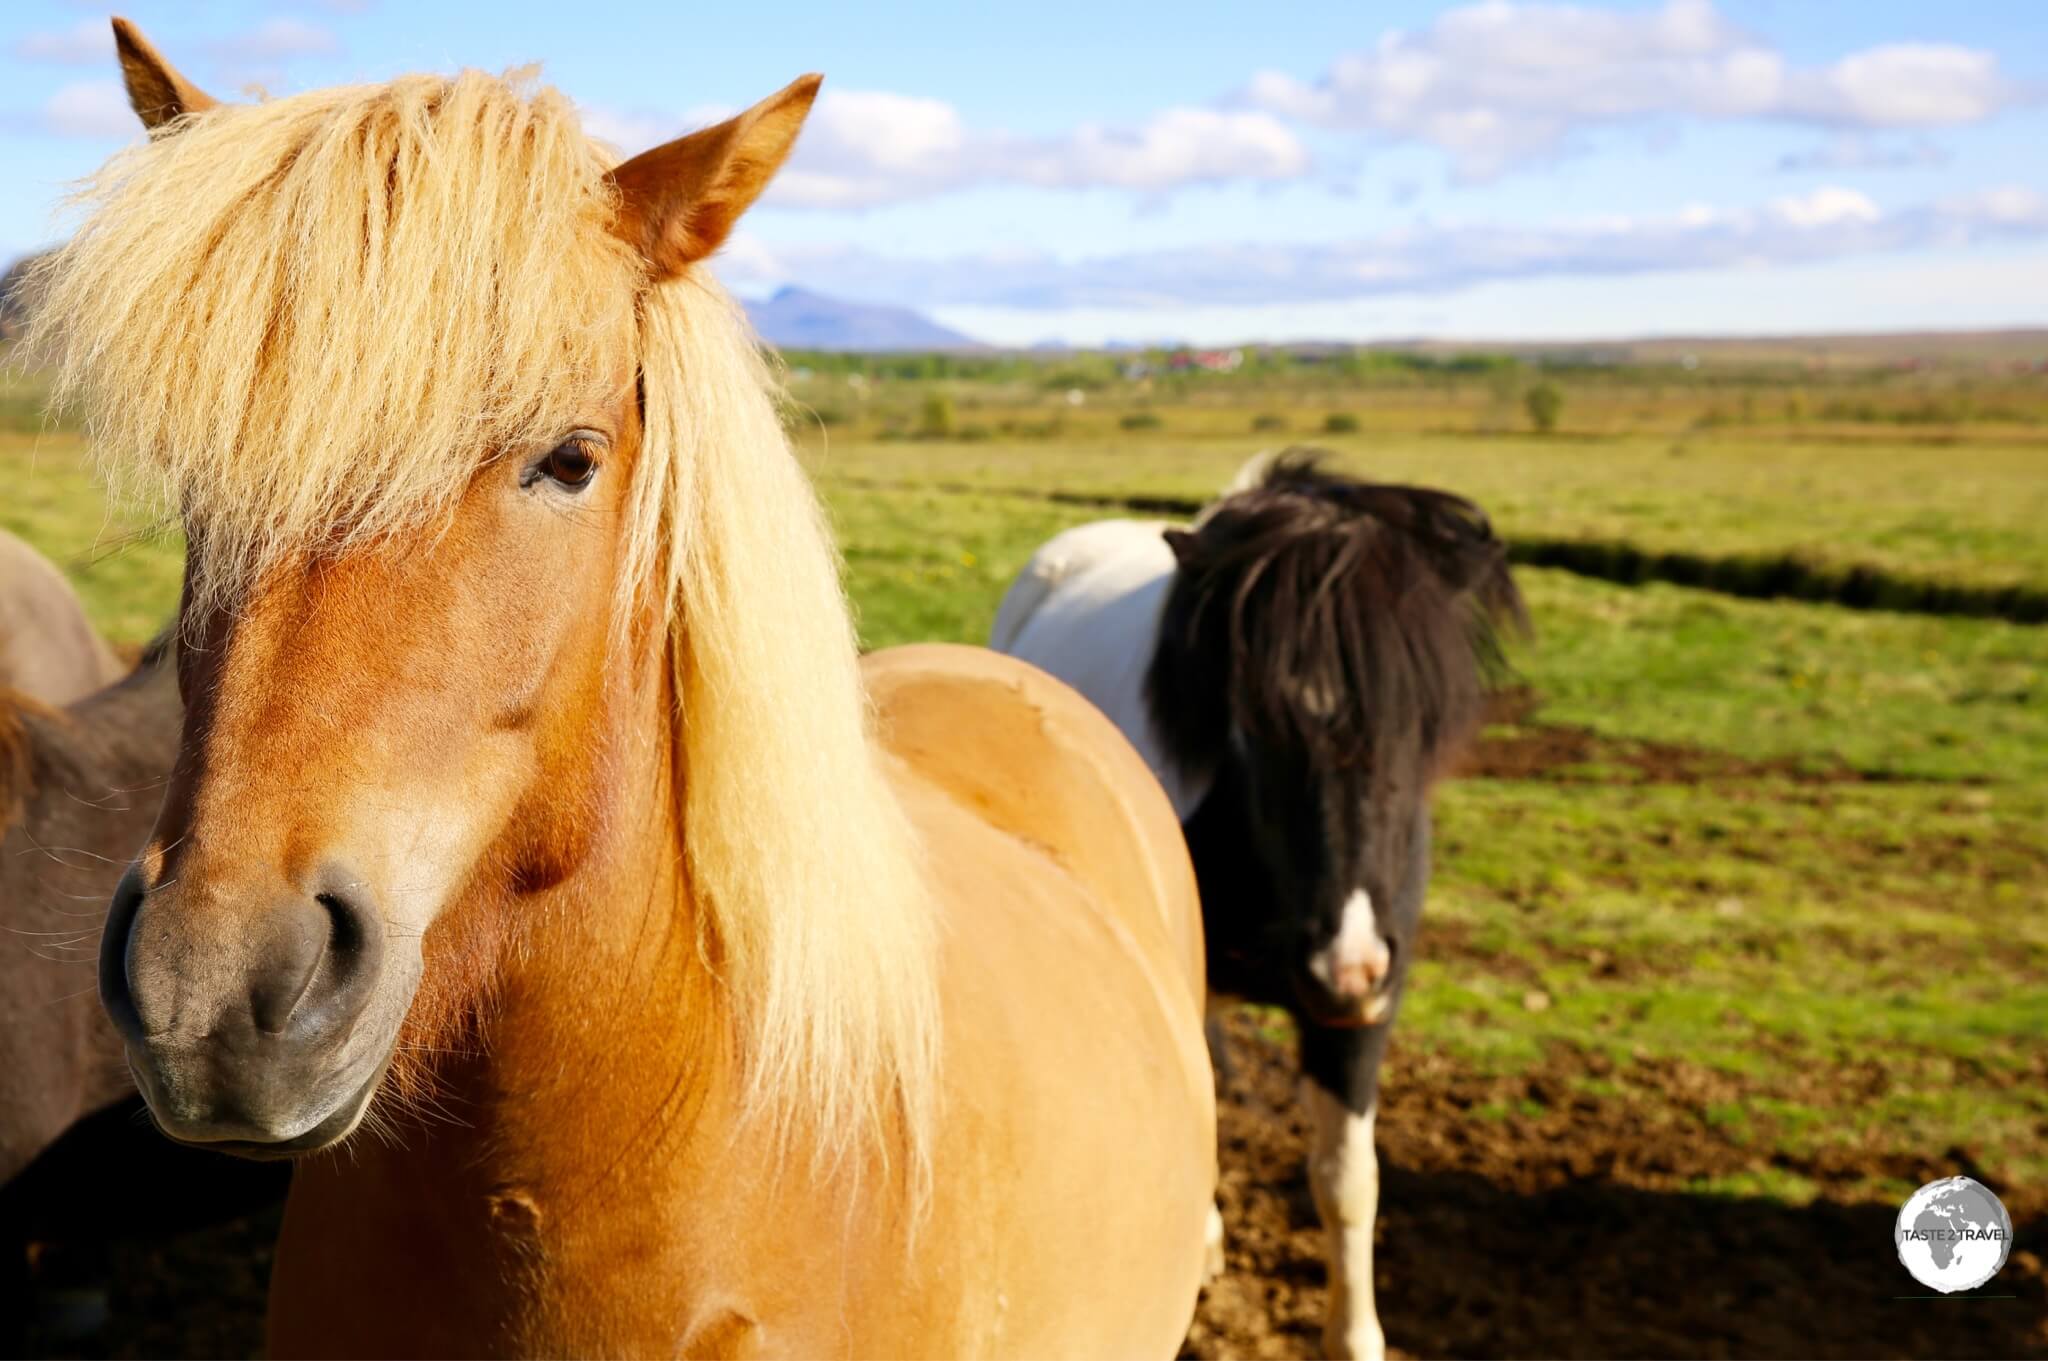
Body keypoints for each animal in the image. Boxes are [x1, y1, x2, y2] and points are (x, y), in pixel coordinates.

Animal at [991, 450, 1523, 1350]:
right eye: (1257, 724)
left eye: (1424, 722)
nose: (1344, 963)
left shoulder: (1366, 1010)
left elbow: (1348, 1179)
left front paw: (1355, 1337)